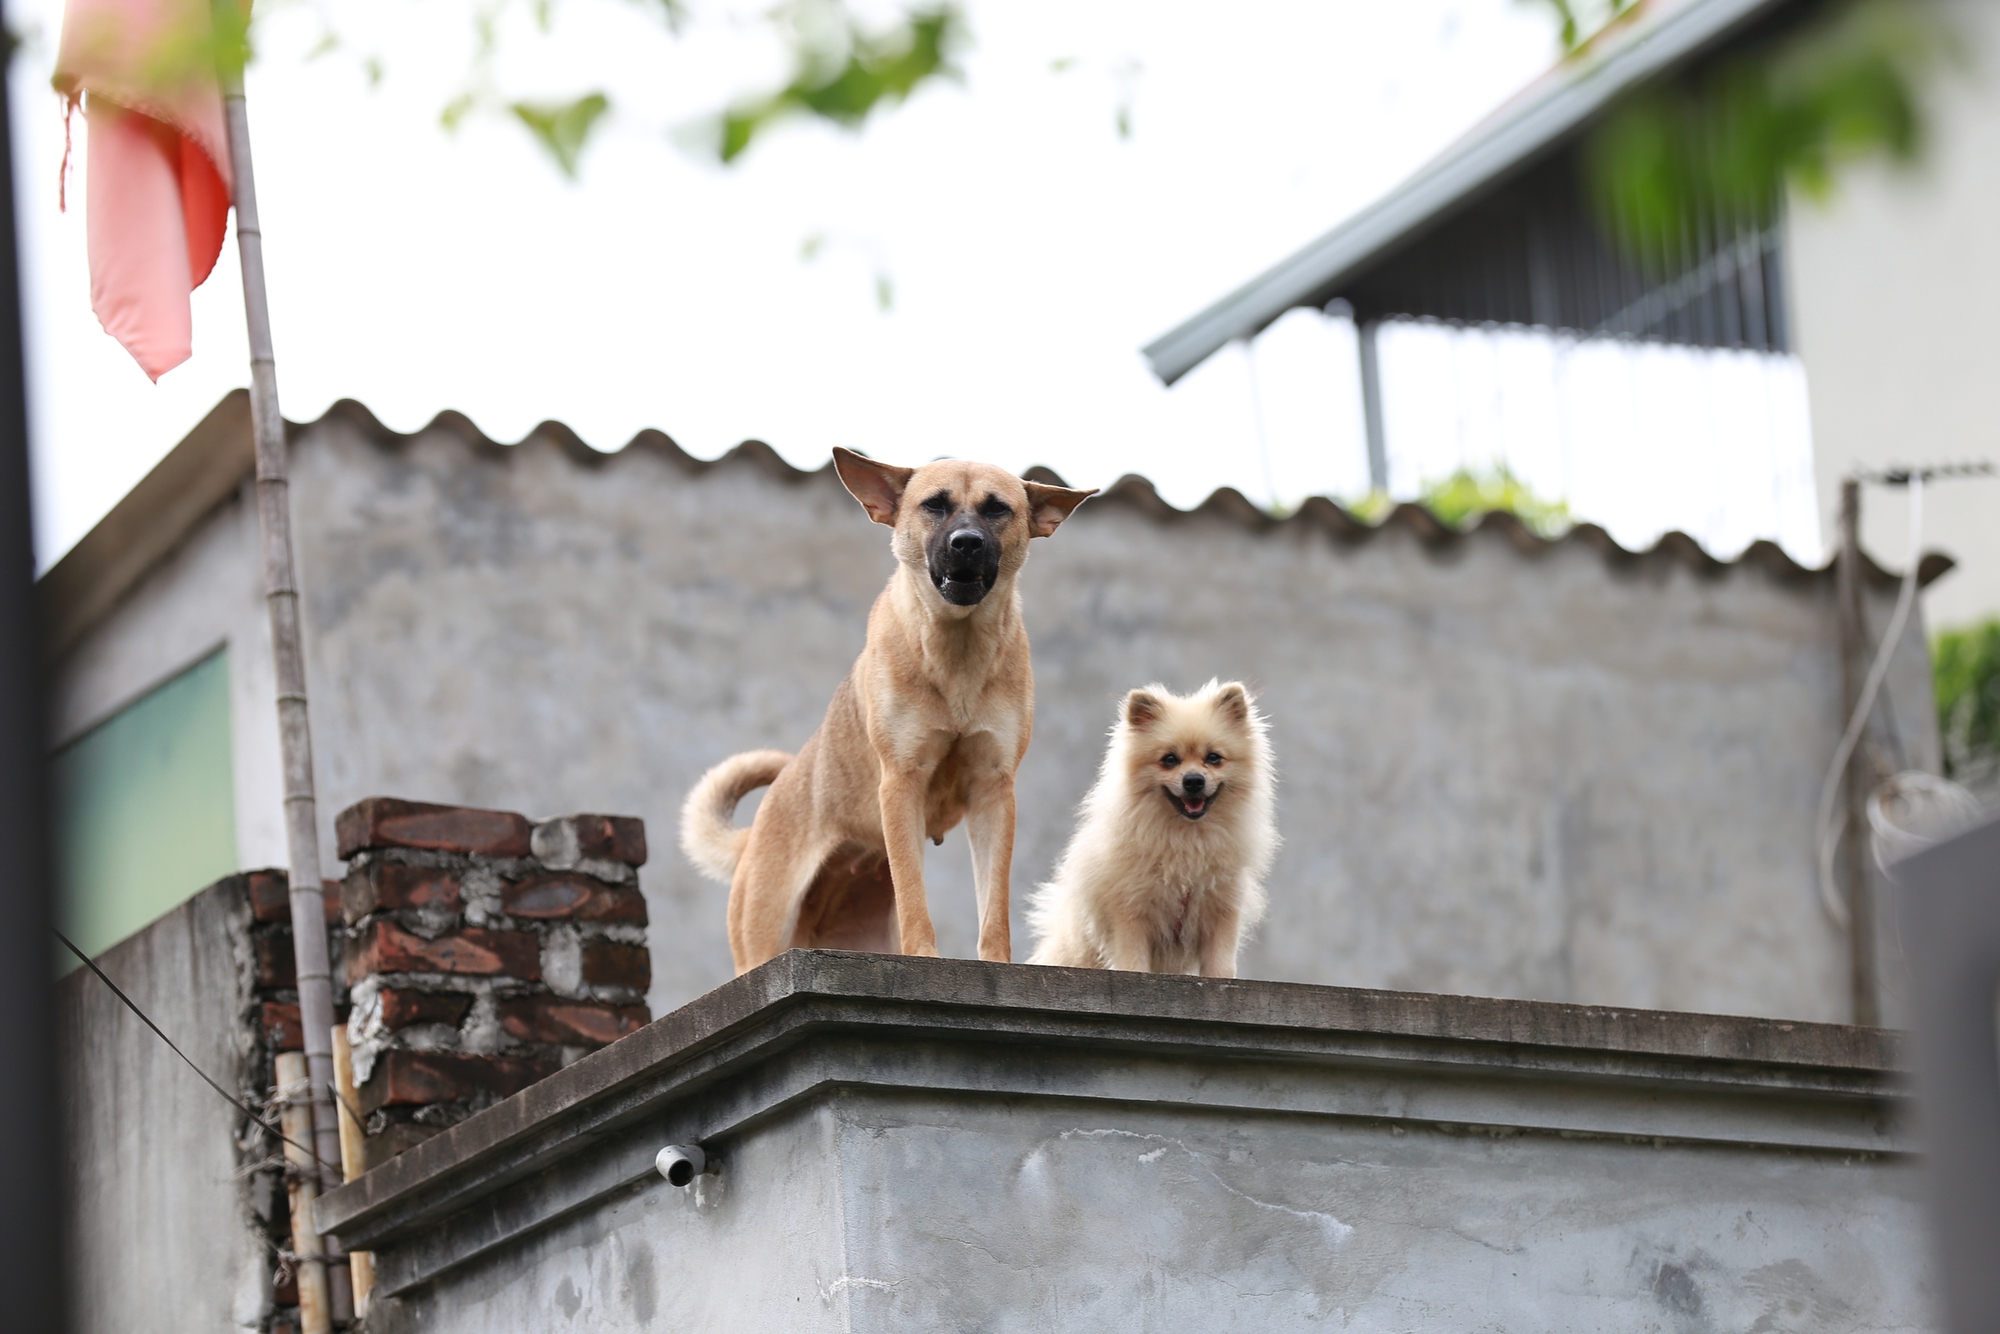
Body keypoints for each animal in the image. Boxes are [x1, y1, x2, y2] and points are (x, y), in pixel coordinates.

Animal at [684, 448, 1096, 972]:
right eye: (935, 504)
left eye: (997, 509)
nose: (966, 544)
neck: (956, 652)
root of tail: (754, 835)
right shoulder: (902, 782)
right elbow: (915, 898)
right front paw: (925, 956)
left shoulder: (994, 792)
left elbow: (993, 907)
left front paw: (996, 964)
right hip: (762, 942)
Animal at [1032, 684, 1280, 976]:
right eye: (1169, 760)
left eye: (1213, 758)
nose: (1193, 780)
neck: (1187, 838)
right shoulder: (1130, 914)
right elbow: (1134, 962)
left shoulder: (1221, 912)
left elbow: (1220, 967)